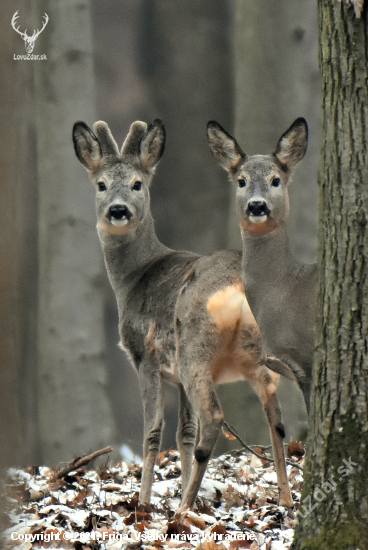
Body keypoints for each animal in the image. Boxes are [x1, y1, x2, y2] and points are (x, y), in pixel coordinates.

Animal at [73, 119, 294, 508]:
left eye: (138, 184)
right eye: (101, 184)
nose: (118, 210)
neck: (134, 278)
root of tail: (237, 288)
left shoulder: (146, 357)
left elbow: (153, 432)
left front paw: (145, 502)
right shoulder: (174, 374)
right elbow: (185, 433)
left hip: (194, 349)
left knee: (215, 416)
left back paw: (183, 511)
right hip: (252, 354)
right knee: (275, 416)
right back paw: (283, 499)